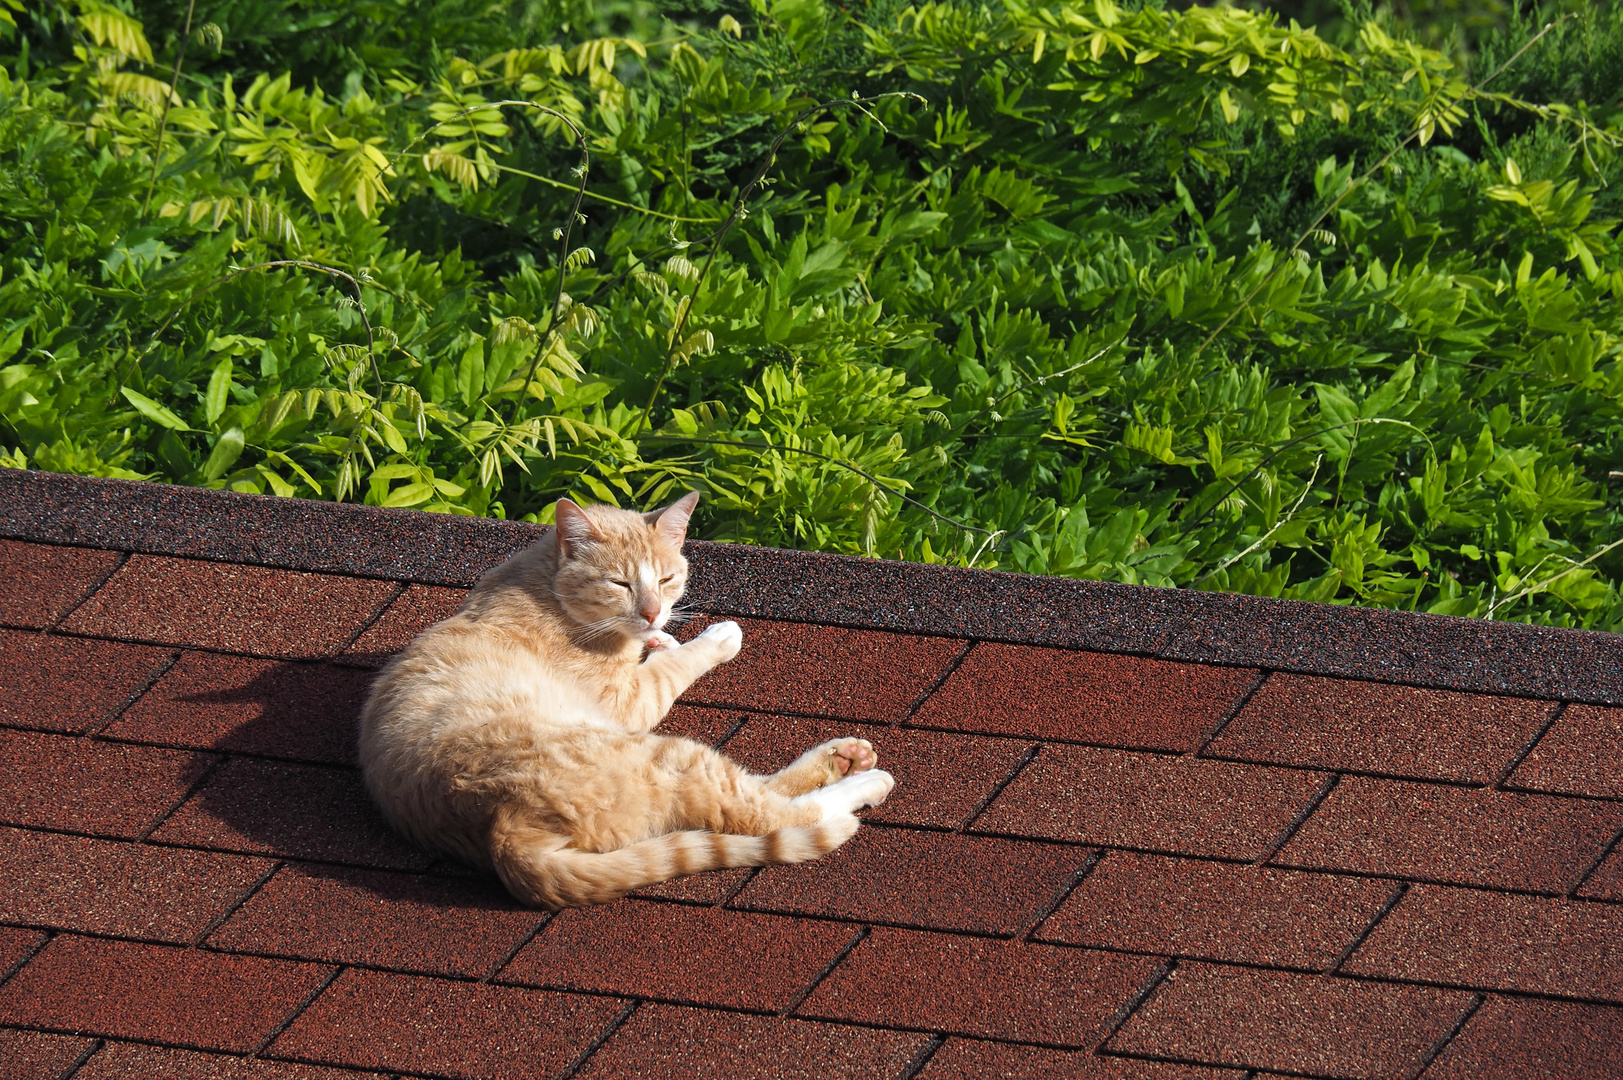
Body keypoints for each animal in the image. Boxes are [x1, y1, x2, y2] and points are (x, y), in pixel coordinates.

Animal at [358, 493, 902, 902]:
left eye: (665, 578)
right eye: (619, 582)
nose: (653, 611)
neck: (542, 590)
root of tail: (503, 831)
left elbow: (662, 650)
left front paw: (663, 637)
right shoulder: (629, 700)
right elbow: (673, 666)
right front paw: (711, 638)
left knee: (765, 793)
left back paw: (844, 758)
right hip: (666, 753)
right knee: (766, 814)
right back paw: (863, 783)